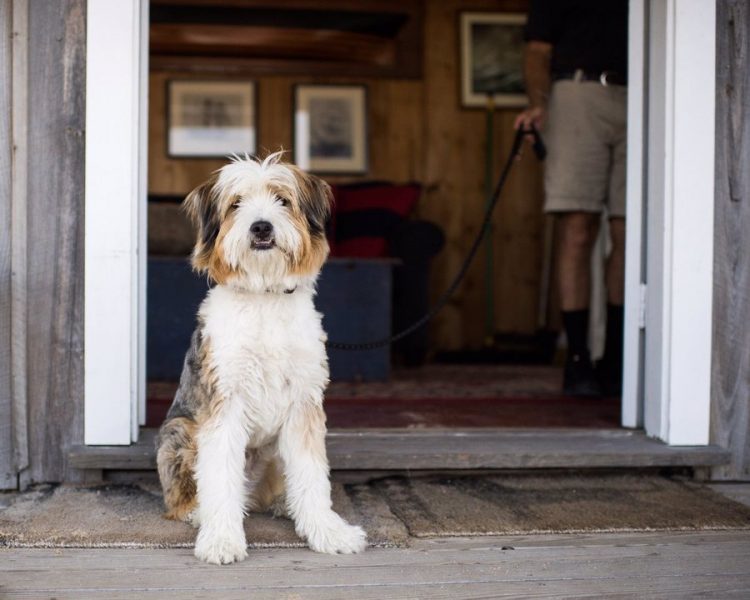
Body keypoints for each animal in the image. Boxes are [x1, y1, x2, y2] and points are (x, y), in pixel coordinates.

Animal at [158, 154, 368, 564]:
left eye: (282, 200)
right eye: (236, 203)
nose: (261, 226)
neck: (264, 296)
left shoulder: (304, 404)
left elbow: (312, 476)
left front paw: (328, 531)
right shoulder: (223, 403)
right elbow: (220, 477)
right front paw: (222, 540)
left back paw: (287, 505)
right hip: (180, 430)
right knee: (187, 495)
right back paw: (197, 512)